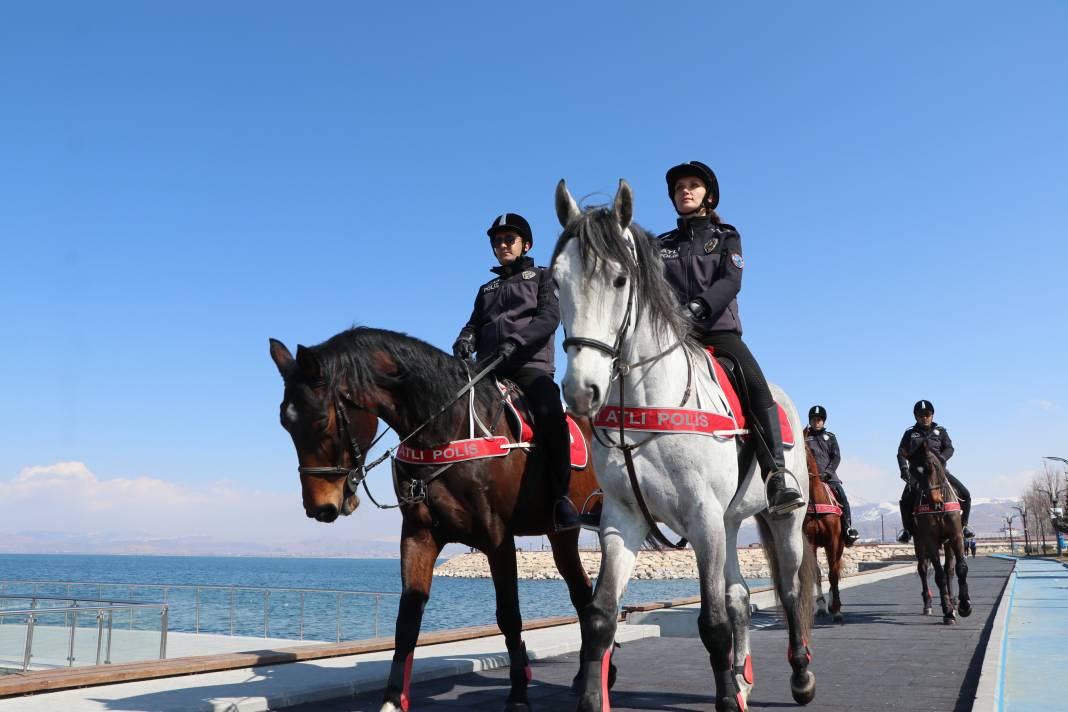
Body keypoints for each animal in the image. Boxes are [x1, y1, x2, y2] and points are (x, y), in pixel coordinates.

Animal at [269, 328, 610, 712]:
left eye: (320, 421)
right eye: (285, 422)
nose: (320, 507)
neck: (446, 428)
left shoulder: (497, 539)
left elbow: (509, 615)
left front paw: (519, 694)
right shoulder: (419, 536)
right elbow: (407, 620)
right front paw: (392, 699)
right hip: (559, 535)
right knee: (582, 594)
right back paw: (587, 675)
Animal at [555, 179, 811, 712]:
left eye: (620, 281)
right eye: (556, 283)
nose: (581, 390)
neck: (649, 399)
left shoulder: (702, 516)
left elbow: (711, 622)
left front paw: (726, 700)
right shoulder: (623, 519)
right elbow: (600, 616)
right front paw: (590, 697)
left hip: (783, 520)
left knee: (790, 591)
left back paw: (800, 677)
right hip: (731, 523)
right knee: (740, 596)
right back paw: (743, 677)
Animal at [905, 439, 974, 623]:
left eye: (934, 466)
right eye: (913, 471)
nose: (934, 502)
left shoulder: (956, 536)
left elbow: (960, 568)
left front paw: (964, 606)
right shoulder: (930, 540)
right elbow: (938, 575)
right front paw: (948, 611)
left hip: (948, 543)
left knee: (949, 569)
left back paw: (953, 599)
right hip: (919, 542)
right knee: (923, 569)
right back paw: (930, 604)